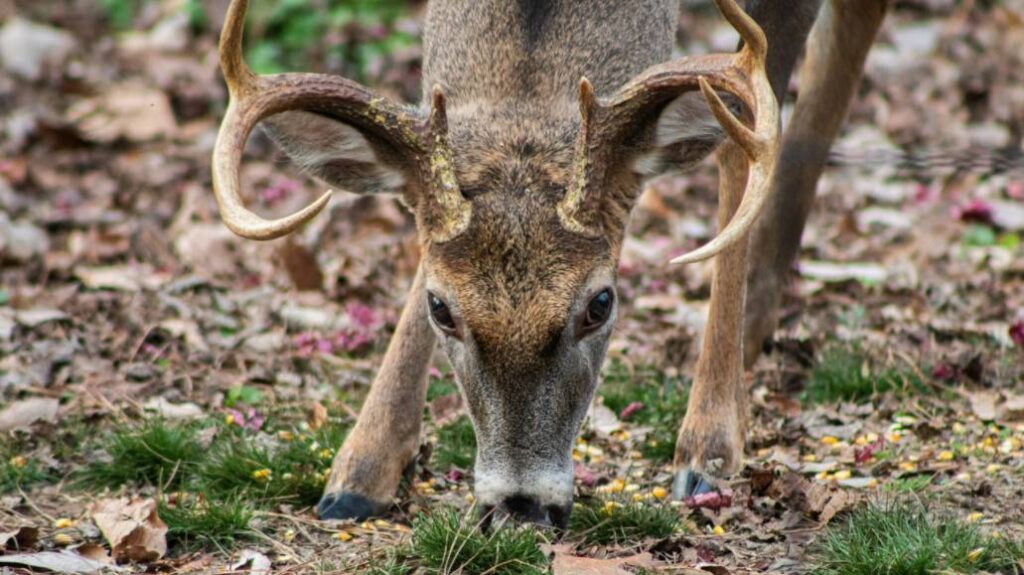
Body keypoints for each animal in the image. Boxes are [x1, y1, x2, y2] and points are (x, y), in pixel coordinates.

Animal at [207, 0, 888, 527]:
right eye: (440, 307)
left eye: (600, 304)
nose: (521, 506)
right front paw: (358, 470)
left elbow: (743, 135)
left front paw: (708, 449)